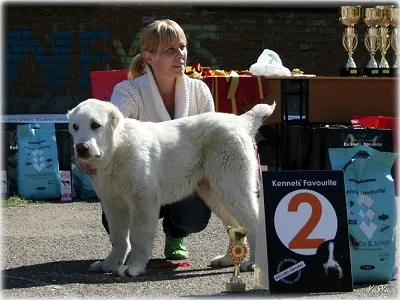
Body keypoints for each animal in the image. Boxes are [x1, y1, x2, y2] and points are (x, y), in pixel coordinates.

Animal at [68, 98, 276, 276]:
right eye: (75, 127)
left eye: (95, 125)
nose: (81, 148)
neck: (116, 149)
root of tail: (240, 120)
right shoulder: (113, 203)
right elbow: (118, 237)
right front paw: (110, 264)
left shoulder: (143, 199)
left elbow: (138, 236)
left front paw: (133, 267)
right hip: (214, 192)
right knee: (234, 224)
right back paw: (227, 259)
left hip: (231, 185)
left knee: (252, 221)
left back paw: (254, 263)